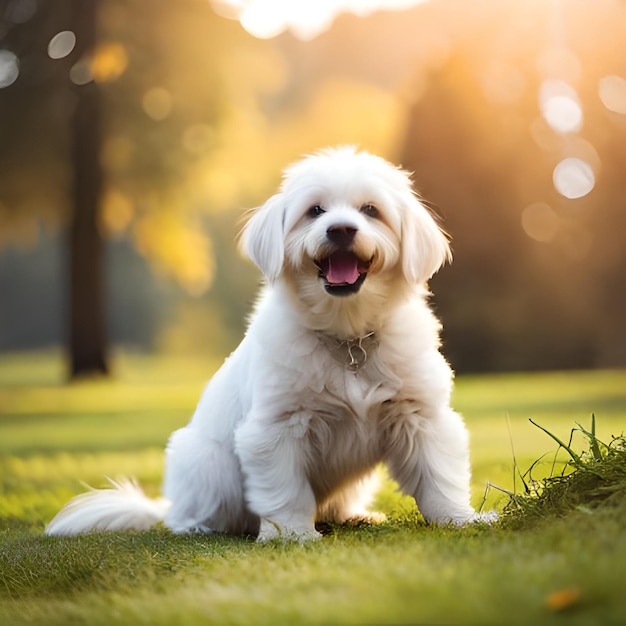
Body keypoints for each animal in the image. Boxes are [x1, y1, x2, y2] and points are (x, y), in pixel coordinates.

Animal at [46, 144, 494, 540]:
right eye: (315, 211)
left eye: (371, 210)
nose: (341, 229)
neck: (346, 336)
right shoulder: (275, 428)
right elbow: (286, 490)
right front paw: (293, 534)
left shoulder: (421, 416)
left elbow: (439, 477)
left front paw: (460, 520)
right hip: (206, 465)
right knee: (191, 515)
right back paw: (199, 526)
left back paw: (356, 515)